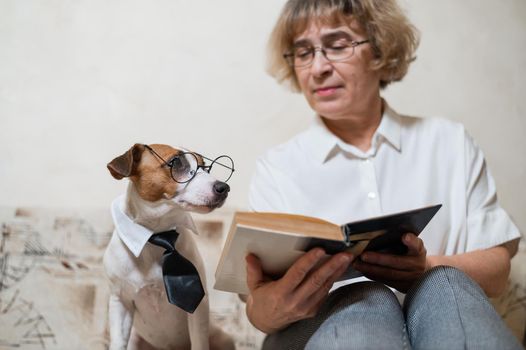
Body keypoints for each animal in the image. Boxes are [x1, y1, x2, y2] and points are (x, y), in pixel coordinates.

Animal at [104, 144, 236, 348]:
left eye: (204, 166)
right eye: (175, 162)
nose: (224, 187)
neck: (158, 233)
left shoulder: (199, 308)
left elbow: (199, 343)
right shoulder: (120, 303)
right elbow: (118, 342)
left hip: (222, 339)